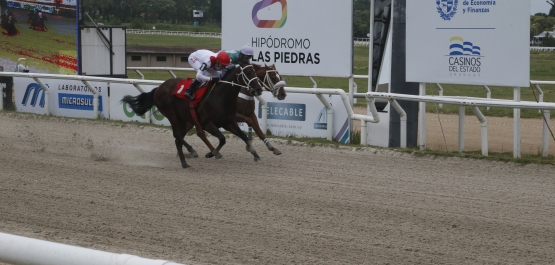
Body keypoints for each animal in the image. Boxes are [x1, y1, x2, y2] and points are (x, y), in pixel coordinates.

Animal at [121, 63, 262, 167]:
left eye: (255, 72)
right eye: (248, 73)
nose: (259, 89)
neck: (221, 96)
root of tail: (159, 88)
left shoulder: (229, 122)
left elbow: (243, 136)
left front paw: (255, 153)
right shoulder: (206, 123)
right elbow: (222, 138)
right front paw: (212, 153)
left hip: (184, 119)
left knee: (178, 138)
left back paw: (184, 163)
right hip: (171, 113)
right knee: (177, 135)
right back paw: (192, 152)